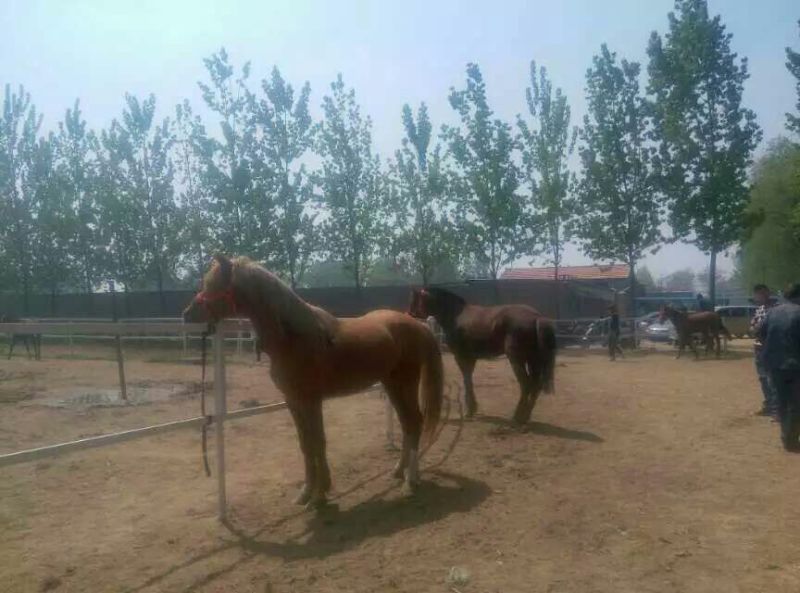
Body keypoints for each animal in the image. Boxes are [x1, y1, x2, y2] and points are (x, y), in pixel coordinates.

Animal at [183, 255, 444, 508]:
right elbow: (305, 444)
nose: (187, 314)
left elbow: (318, 442)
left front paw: (319, 496)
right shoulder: (293, 401)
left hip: (405, 382)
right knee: (406, 424)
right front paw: (306, 493)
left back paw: (410, 481)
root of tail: (418, 326)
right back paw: (400, 471)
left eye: (213, 284)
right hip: (391, 385)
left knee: (414, 422)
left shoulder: (311, 400)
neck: (293, 337)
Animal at [408, 287, 556, 425]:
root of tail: (537, 317)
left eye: (415, 299)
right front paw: (472, 408)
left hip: (517, 360)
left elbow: (466, 380)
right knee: (536, 386)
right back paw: (525, 417)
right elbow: (469, 379)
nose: (409, 315)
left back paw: (517, 417)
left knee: (526, 385)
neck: (455, 316)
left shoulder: (461, 356)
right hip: (533, 361)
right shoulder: (471, 358)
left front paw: (469, 411)